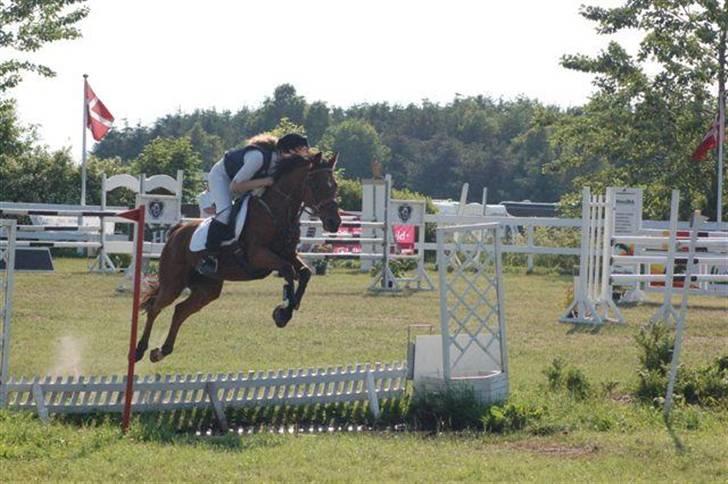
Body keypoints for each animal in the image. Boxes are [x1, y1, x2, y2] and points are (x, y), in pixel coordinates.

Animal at [134, 153, 342, 362]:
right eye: (315, 185)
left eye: (334, 185)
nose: (334, 222)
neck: (275, 212)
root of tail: (177, 231)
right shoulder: (258, 255)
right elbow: (287, 271)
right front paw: (283, 313)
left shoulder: (289, 254)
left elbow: (304, 273)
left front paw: (290, 306)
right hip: (173, 283)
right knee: (155, 307)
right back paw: (140, 350)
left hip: (207, 289)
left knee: (180, 310)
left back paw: (161, 351)